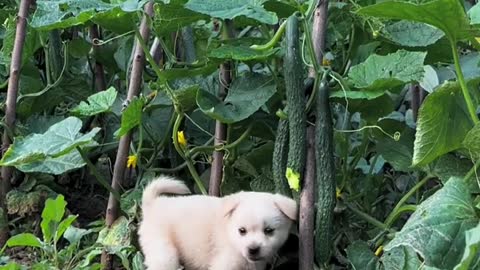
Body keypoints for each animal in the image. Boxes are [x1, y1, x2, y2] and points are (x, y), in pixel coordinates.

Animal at [137, 176, 298, 268]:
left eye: (269, 231)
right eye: (242, 231)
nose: (253, 249)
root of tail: (152, 204)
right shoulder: (224, 264)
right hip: (164, 252)